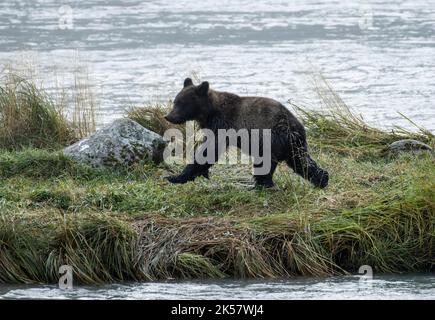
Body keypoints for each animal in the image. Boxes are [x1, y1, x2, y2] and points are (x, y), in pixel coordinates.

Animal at [165, 78, 328, 189]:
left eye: (182, 103)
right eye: (175, 101)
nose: (168, 116)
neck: (209, 113)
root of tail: (298, 128)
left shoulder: (223, 124)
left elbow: (210, 150)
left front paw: (175, 177)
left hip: (272, 137)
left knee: (267, 163)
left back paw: (261, 184)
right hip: (291, 145)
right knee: (301, 161)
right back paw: (322, 179)